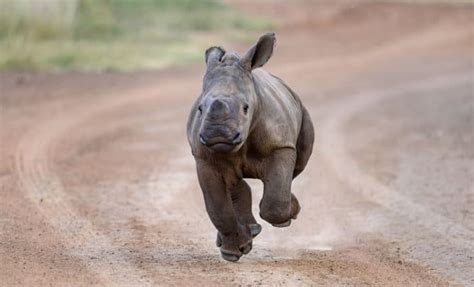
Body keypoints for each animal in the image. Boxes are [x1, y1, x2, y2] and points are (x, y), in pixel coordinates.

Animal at [186, 32, 314, 262]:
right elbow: (218, 209)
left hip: (301, 110)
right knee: (233, 180)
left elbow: (275, 202)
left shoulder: (280, 146)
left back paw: (289, 211)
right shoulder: (204, 157)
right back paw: (248, 233)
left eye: (246, 108)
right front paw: (232, 252)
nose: (217, 134)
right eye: (200, 108)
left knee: (298, 165)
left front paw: (285, 217)